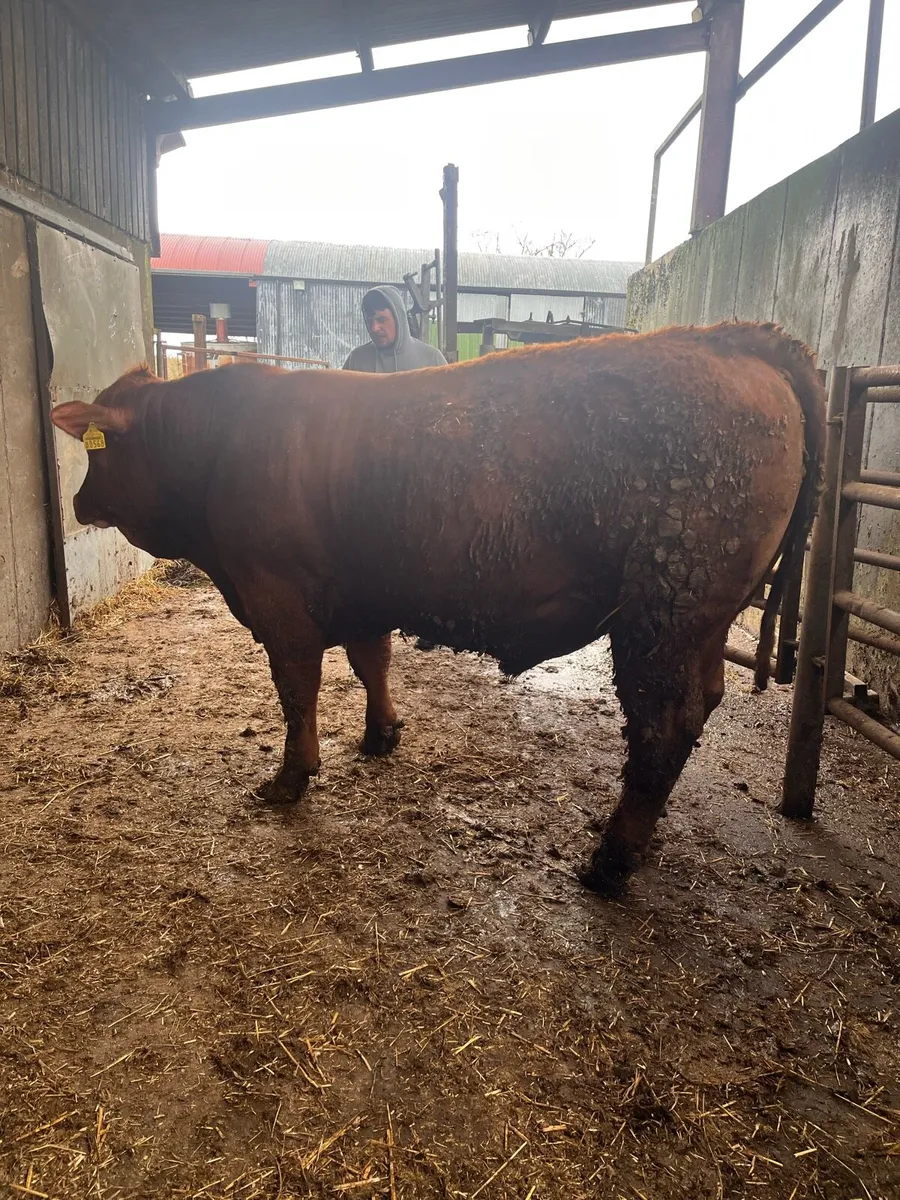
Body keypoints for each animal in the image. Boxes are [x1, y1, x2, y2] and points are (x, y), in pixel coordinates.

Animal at [51, 323, 825, 895]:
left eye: (98, 448)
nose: (78, 502)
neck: (219, 442)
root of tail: (733, 339)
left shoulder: (278, 601)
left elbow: (297, 693)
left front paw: (289, 778)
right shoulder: (361, 592)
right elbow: (372, 662)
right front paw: (382, 733)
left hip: (661, 615)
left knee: (662, 726)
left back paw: (609, 861)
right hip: (701, 624)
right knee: (700, 707)